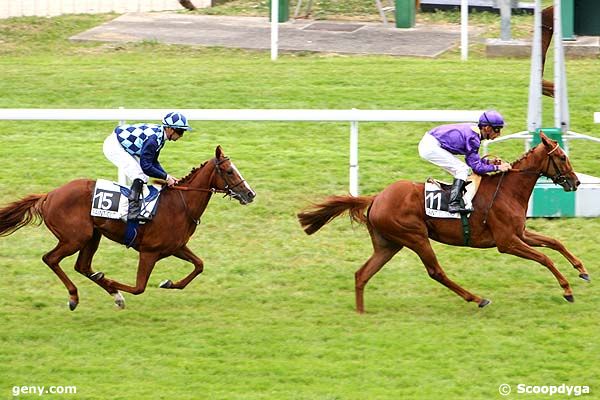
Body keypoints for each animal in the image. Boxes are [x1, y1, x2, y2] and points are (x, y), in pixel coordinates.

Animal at [0, 145, 254, 310]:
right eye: (229, 171)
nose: (250, 194)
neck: (180, 205)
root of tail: (49, 195)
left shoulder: (176, 247)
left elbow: (199, 265)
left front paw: (168, 283)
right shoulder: (149, 252)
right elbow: (139, 287)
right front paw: (113, 283)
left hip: (92, 236)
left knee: (82, 266)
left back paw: (108, 293)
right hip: (75, 238)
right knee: (51, 259)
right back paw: (75, 297)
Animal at [298, 132, 588, 312]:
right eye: (562, 157)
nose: (575, 182)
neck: (507, 190)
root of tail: (377, 197)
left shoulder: (521, 233)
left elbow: (554, 242)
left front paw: (581, 270)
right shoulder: (507, 242)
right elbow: (544, 258)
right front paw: (567, 290)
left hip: (388, 244)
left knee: (362, 274)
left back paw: (361, 313)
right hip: (415, 237)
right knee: (436, 271)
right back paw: (477, 298)